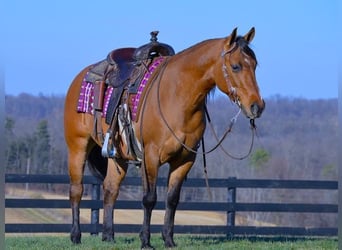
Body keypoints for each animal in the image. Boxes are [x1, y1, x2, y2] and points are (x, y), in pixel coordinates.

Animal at [63, 26, 264, 248]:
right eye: (236, 66)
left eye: (255, 65)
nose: (257, 106)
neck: (177, 96)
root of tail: (80, 77)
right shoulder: (150, 157)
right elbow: (149, 198)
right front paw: (146, 241)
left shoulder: (185, 159)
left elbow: (172, 199)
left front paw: (168, 239)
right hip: (78, 146)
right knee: (76, 189)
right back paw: (75, 236)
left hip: (118, 157)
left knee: (110, 188)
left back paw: (108, 236)